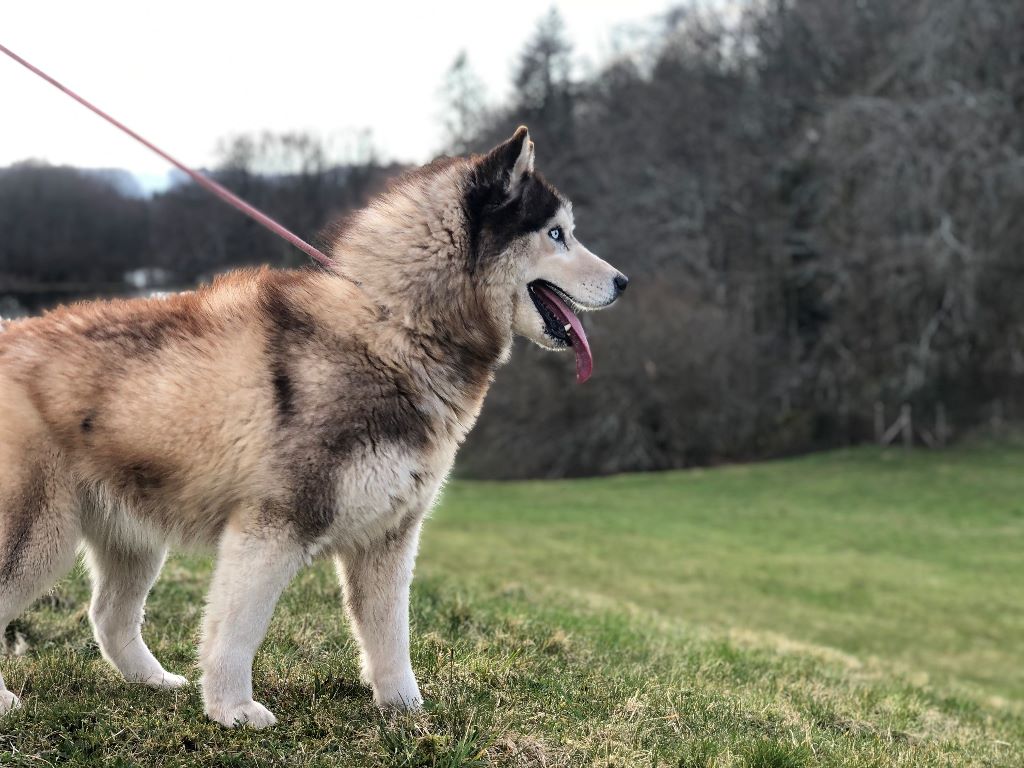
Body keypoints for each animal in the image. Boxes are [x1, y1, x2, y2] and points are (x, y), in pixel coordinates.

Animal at [0, 126, 622, 729]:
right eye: (557, 234)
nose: (624, 281)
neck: (397, 327)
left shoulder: (388, 538)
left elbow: (391, 638)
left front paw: (407, 712)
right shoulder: (272, 528)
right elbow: (237, 631)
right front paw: (232, 710)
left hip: (131, 534)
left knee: (108, 616)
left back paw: (154, 681)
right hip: (39, 538)